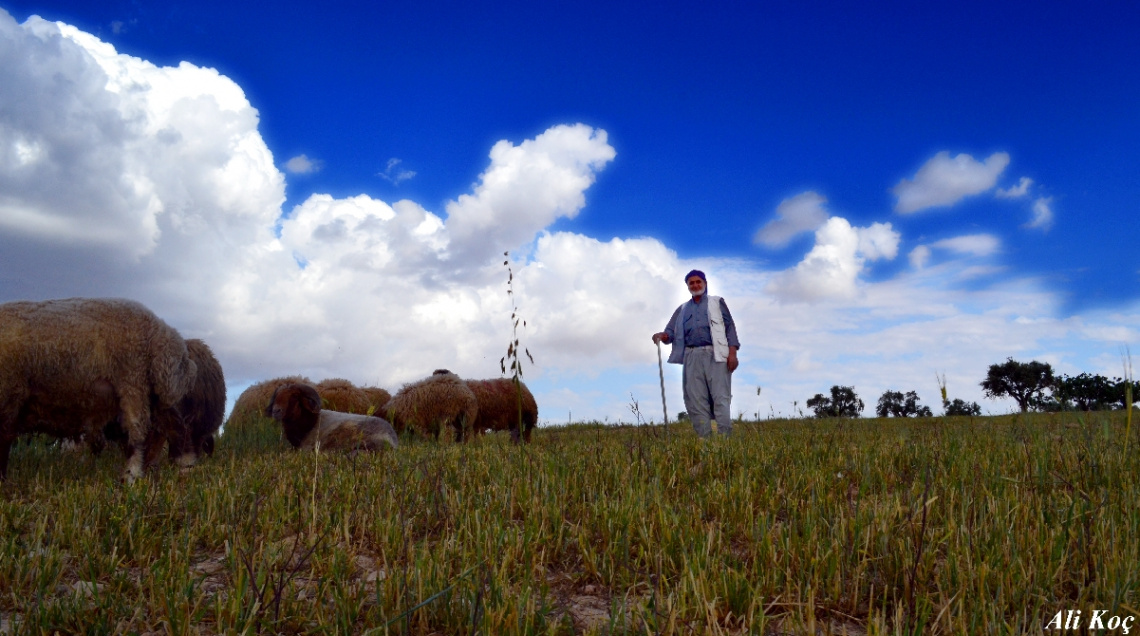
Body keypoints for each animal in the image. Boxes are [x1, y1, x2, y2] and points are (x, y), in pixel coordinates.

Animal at [0, 300, 197, 483]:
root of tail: (162, 330)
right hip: (146, 390)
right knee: (167, 427)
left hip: (133, 380)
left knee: (141, 432)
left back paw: (135, 475)